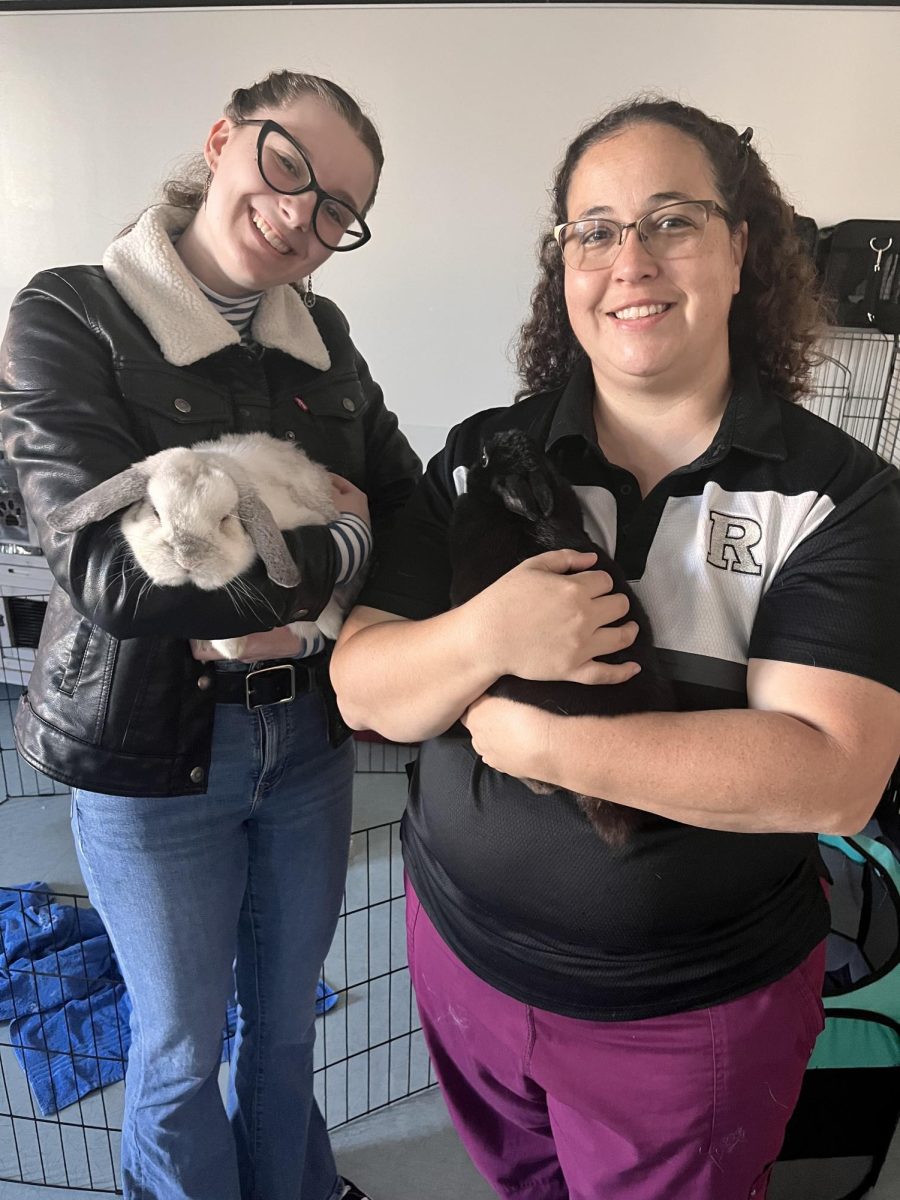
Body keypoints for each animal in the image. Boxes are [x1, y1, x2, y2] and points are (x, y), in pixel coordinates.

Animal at [45, 432, 355, 657]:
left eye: (225, 519)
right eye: (155, 512)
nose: (187, 559)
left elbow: (323, 600)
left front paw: (334, 628)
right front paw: (231, 648)